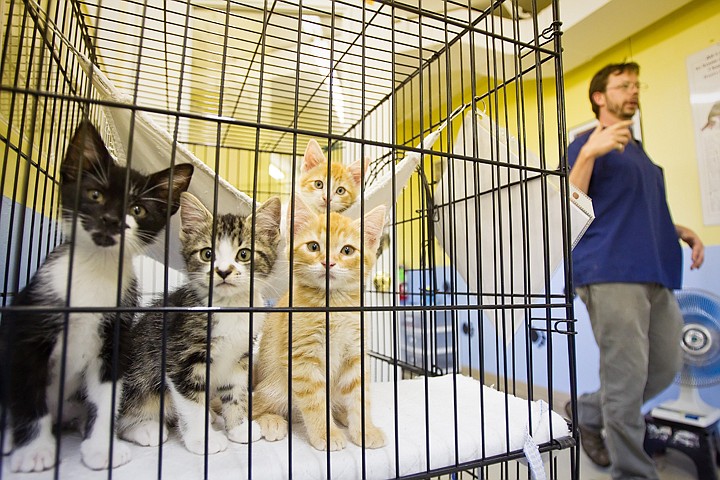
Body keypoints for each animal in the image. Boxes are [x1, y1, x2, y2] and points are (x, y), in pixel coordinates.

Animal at [0, 120, 194, 472]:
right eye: (95, 195)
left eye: (137, 209)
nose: (112, 220)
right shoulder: (30, 335)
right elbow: (30, 393)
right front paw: (35, 451)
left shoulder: (113, 341)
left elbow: (105, 400)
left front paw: (101, 449)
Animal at [118, 190, 282, 454]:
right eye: (207, 254)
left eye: (244, 254)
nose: (223, 271)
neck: (230, 308)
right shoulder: (181, 357)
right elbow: (191, 403)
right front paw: (203, 440)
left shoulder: (240, 356)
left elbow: (236, 392)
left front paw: (238, 428)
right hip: (138, 378)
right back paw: (145, 429)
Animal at [253, 198, 388, 450]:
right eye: (314, 247)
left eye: (347, 250)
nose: (329, 262)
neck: (333, 306)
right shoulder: (302, 357)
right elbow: (315, 400)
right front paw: (326, 434)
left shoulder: (355, 353)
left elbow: (359, 396)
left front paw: (365, 429)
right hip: (274, 387)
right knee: (249, 407)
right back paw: (271, 421)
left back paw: (342, 414)